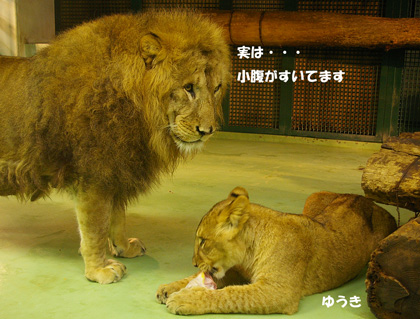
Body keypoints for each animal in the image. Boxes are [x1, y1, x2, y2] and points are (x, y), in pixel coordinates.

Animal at [0, 10, 230, 284]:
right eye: (188, 88)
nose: (208, 131)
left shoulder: (118, 168)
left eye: (216, 88)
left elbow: (117, 217)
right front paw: (98, 269)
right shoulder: (94, 174)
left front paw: (123, 247)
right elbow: (95, 227)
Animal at [158, 188, 398, 316]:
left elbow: (232, 294)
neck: (249, 253)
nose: (193, 263)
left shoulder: (279, 290)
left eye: (203, 241)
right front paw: (170, 288)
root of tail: (369, 201)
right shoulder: (236, 270)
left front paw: (186, 299)